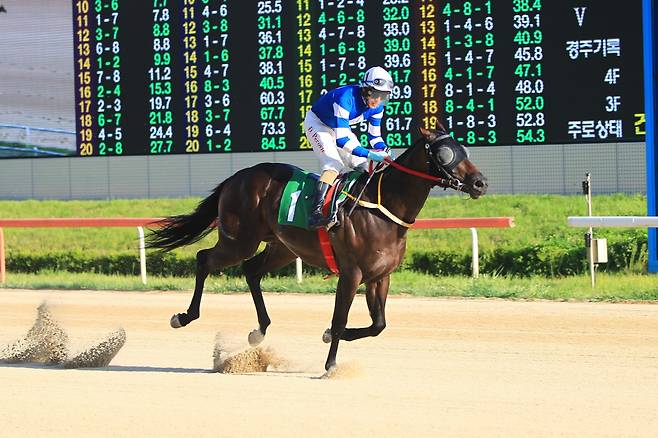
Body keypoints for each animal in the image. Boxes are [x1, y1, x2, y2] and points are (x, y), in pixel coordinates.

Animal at [149, 126, 486, 370]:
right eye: (445, 153)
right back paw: (184, 316)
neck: (383, 209)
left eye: (465, 149)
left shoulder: (380, 276)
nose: (480, 182)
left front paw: (328, 339)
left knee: (251, 270)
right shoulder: (351, 274)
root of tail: (237, 177)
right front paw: (331, 364)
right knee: (205, 259)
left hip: (283, 247)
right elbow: (340, 320)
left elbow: (378, 325)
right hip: (239, 241)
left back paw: (259, 330)